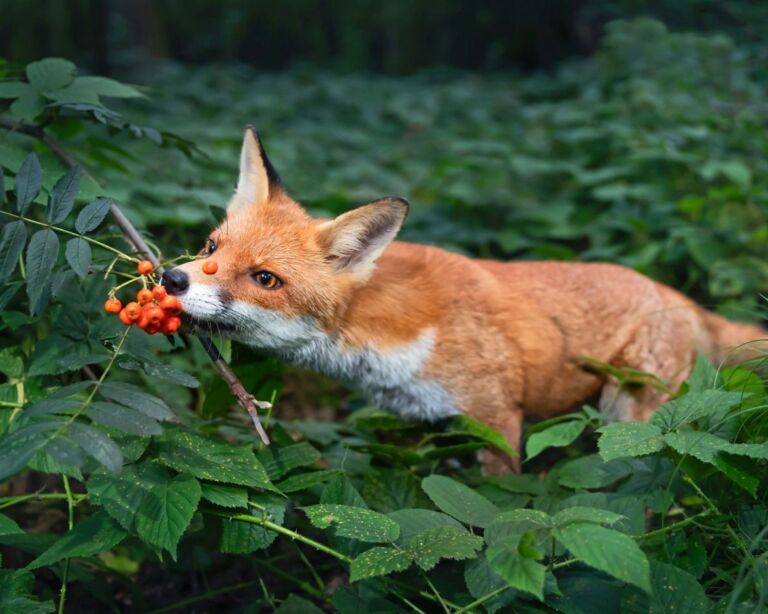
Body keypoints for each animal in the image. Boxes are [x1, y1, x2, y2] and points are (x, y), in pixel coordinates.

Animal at [160, 129, 760, 476]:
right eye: (211, 248)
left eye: (265, 278)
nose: (171, 278)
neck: (380, 333)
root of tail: (680, 297)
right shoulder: (424, 426)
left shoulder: (497, 417)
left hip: (632, 417)